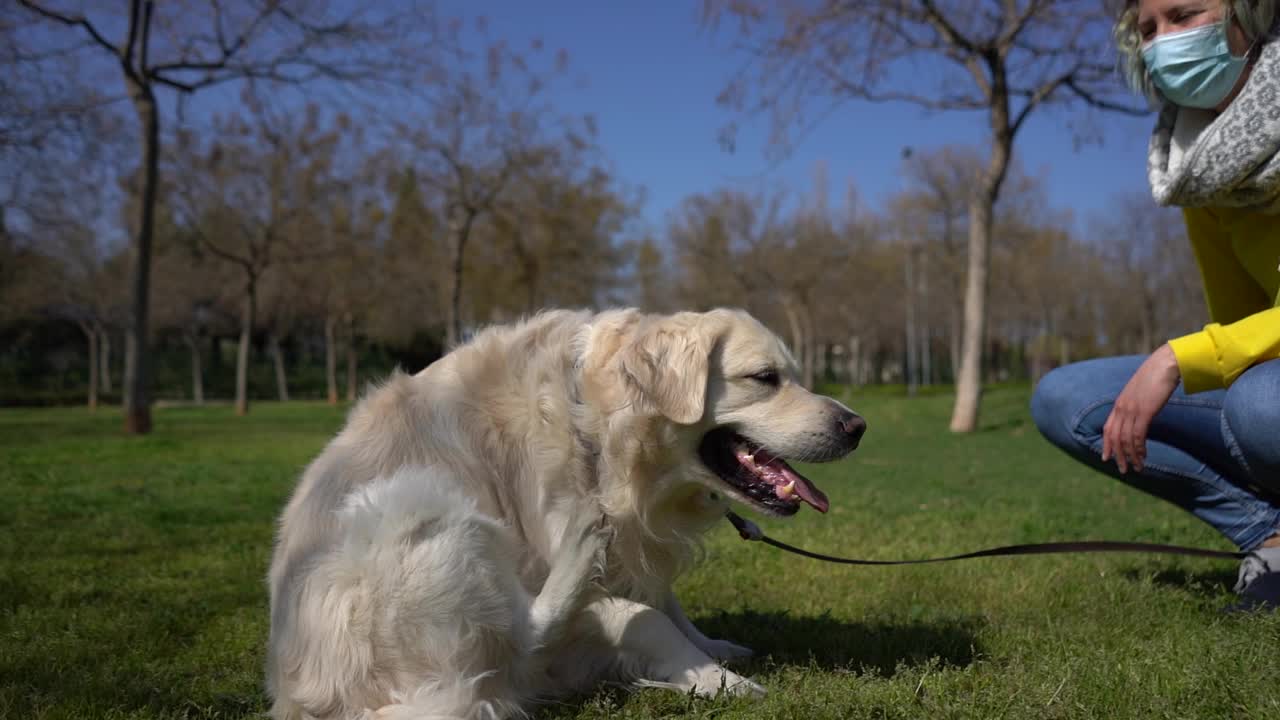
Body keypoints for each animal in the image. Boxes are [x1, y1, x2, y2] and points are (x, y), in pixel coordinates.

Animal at [264, 307, 865, 717]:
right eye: (765, 378)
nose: (856, 426)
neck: (601, 428)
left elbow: (667, 605)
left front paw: (713, 649)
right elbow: (642, 616)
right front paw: (720, 680)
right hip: (418, 504)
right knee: (523, 635)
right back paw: (580, 554)